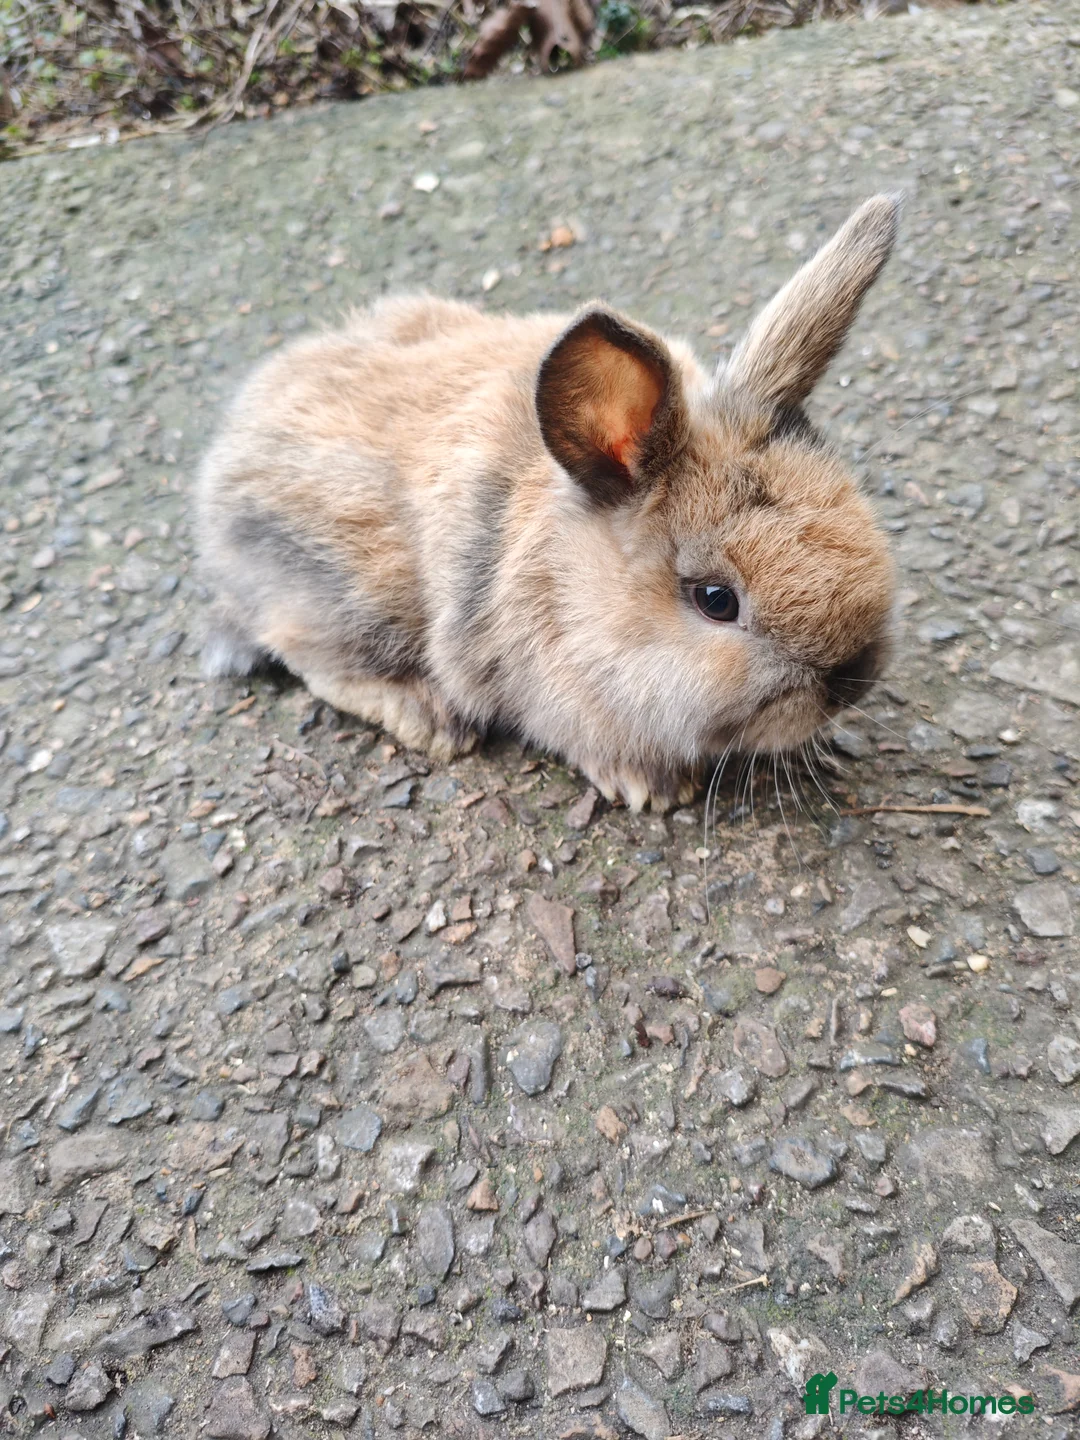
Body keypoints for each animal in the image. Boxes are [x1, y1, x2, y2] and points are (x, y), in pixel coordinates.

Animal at [196, 193, 899, 813]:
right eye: (715, 600)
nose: (853, 681)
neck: (574, 593)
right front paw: (652, 789)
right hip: (350, 594)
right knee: (303, 650)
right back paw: (432, 720)